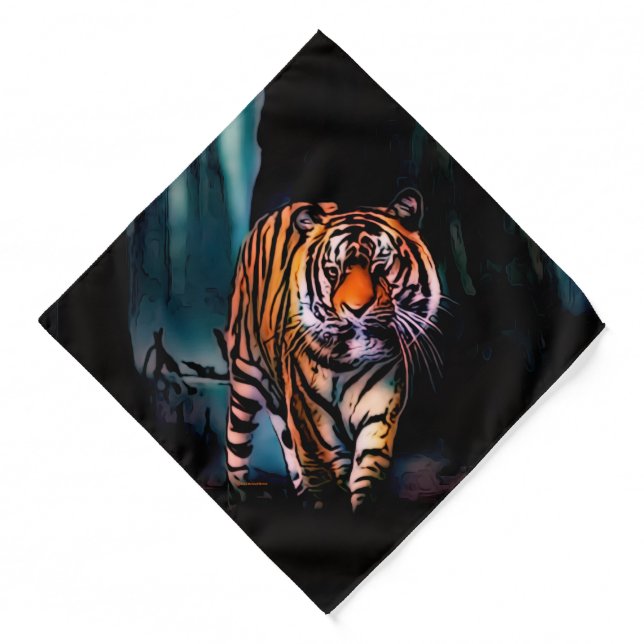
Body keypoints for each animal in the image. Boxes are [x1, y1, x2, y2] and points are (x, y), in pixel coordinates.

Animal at [225, 188, 442, 513]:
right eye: (332, 272)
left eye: (381, 267)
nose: (355, 309)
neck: (351, 362)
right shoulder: (309, 410)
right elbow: (328, 460)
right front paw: (330, 503)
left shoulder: (381, 404)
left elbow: (368, 464)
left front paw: (362, 507)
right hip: (245, 375)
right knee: (236, 442)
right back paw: (242, 494)